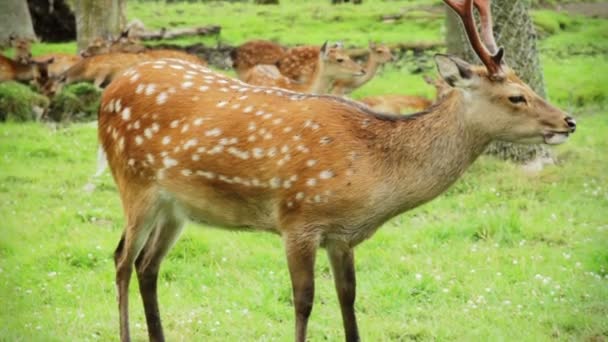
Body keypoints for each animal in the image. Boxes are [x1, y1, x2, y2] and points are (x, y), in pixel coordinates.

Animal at [98, 0, 576, 342]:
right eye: (516, 96)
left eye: (527, 85)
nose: (568, 121)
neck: (373, 178)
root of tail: (110, 91)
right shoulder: (298, 219)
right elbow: (304, 301)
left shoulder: (343, 235)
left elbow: (349, 300)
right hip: (134, 183)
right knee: (121, 258)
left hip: (176, 207)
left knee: (148, 265)